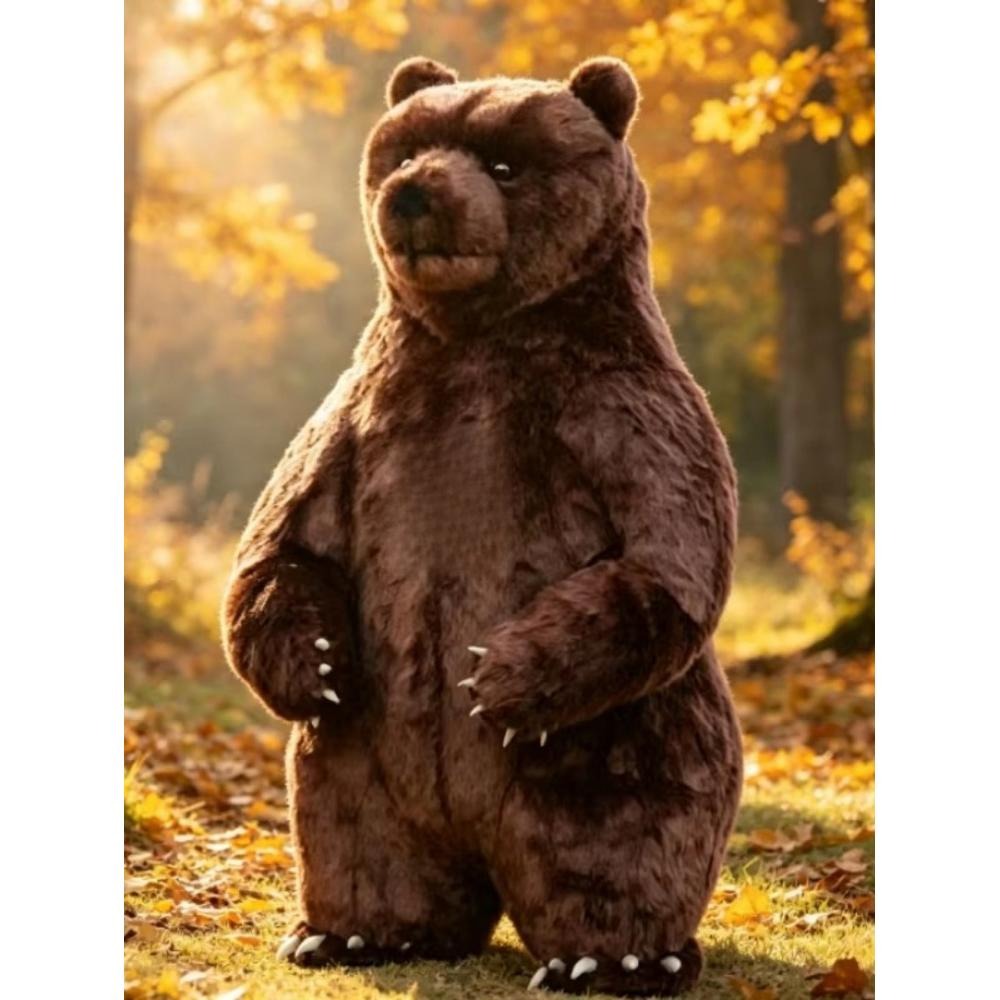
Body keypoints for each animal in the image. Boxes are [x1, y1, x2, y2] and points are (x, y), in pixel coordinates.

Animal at [222, 55, 742, 997]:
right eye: (409, 147)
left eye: (505, 164)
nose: (414, 194)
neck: (474, 339)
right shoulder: (359, 417)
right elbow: (283, 537)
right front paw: (317, 664)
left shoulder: (624, 406)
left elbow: (665, 559)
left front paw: (494, 676)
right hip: (363, 764)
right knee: (359, 838)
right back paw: (354, 935)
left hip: (615, 749)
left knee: (617, 844)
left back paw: (612, 957)